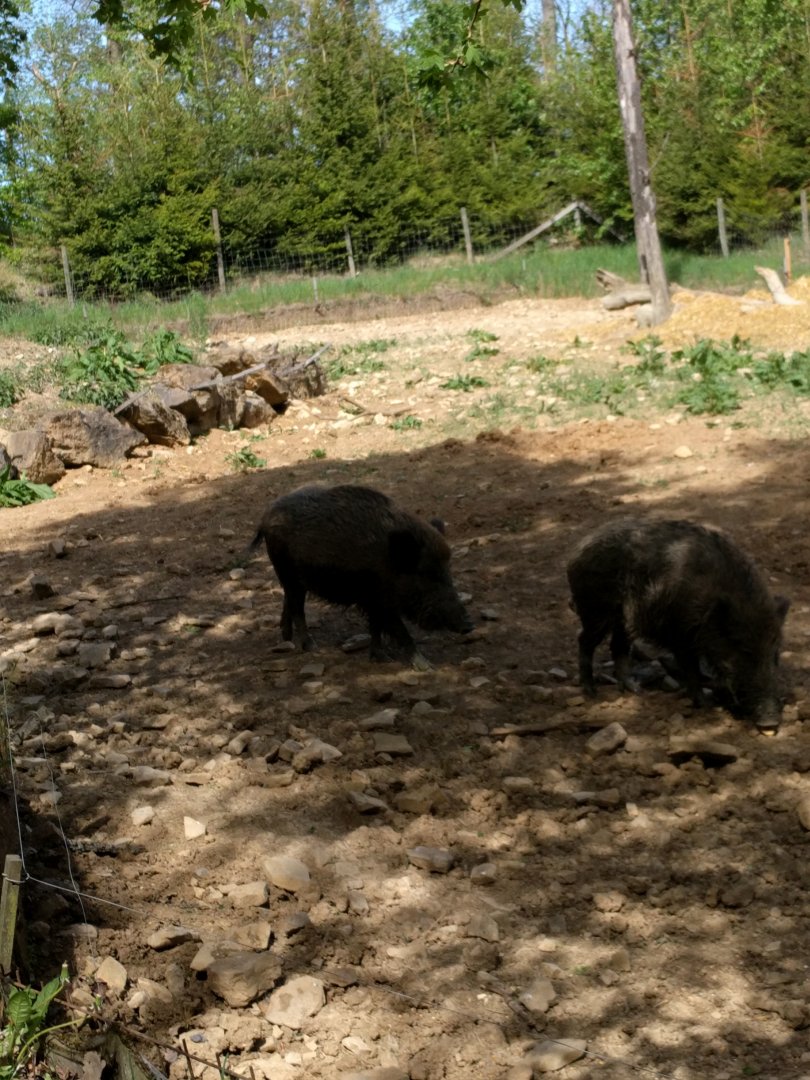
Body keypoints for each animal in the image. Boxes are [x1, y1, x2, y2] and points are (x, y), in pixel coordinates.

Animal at [248, 484, 473, 667]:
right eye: (426, 574)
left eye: (448, 572)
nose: (469, 624)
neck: (388, 562)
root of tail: (266, 516)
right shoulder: (378, 600)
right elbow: (398, 630)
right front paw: (426, 666)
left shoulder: (375, 602)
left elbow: (376, 628)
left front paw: (381, 658)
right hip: (287, 572)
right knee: (297, 608)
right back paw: (310, 646)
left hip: (292, 579)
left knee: (288, 602)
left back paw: (287, 640)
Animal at [566, 517, 789, 731]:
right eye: (744, 650)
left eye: (775, 654)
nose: (770, 722)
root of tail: (577, 551)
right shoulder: (681, 635)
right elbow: (691, 669)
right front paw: (705, 704)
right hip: (595, 610)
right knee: (584, 641)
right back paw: (591, 692)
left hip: (624, 619)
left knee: (618, 646)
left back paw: (635, 690)